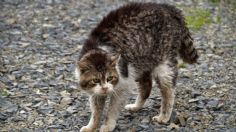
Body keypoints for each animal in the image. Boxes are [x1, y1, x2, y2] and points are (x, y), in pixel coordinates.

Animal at [75, 2, 197, 132]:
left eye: (110, 78)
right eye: (95, 80)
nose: (105, 88)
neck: (97, 49)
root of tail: (167, 7)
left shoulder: (123, 84)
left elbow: (113, 108)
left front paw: (108, 125)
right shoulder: (95, 92)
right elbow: (96, 111)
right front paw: (92, 126)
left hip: (163, 64)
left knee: (168, 92)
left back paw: (164, 116)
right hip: (140, 62)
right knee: (146, 86)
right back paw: (136, 106)